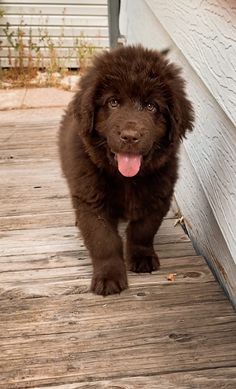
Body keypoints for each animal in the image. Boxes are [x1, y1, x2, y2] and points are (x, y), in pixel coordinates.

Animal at [58, 44, 194, 294]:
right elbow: (103, 240)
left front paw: (141, 257)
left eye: (151, 106)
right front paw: (109, 276)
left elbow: (143, 230)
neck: (126, 178)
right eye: (113, 102)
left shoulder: (158, 195)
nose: (130, 136)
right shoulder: (92, 200)